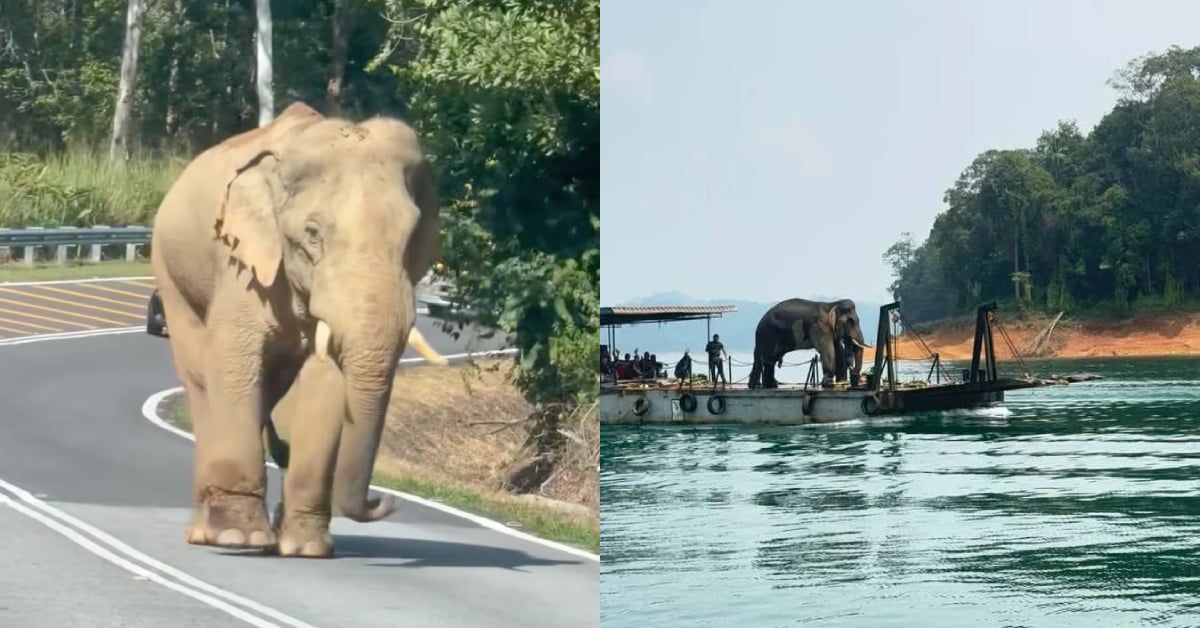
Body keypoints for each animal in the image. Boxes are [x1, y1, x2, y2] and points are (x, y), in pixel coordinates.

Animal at [150, 101, 449, 558]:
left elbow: (324, 382)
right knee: (201, 380)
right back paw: (206, 533)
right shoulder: (241, 264)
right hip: (171, 276)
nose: (384, 500)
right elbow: (235, 364)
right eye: (312, 234)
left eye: (413, 238)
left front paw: (306, 547)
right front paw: (238, 538)